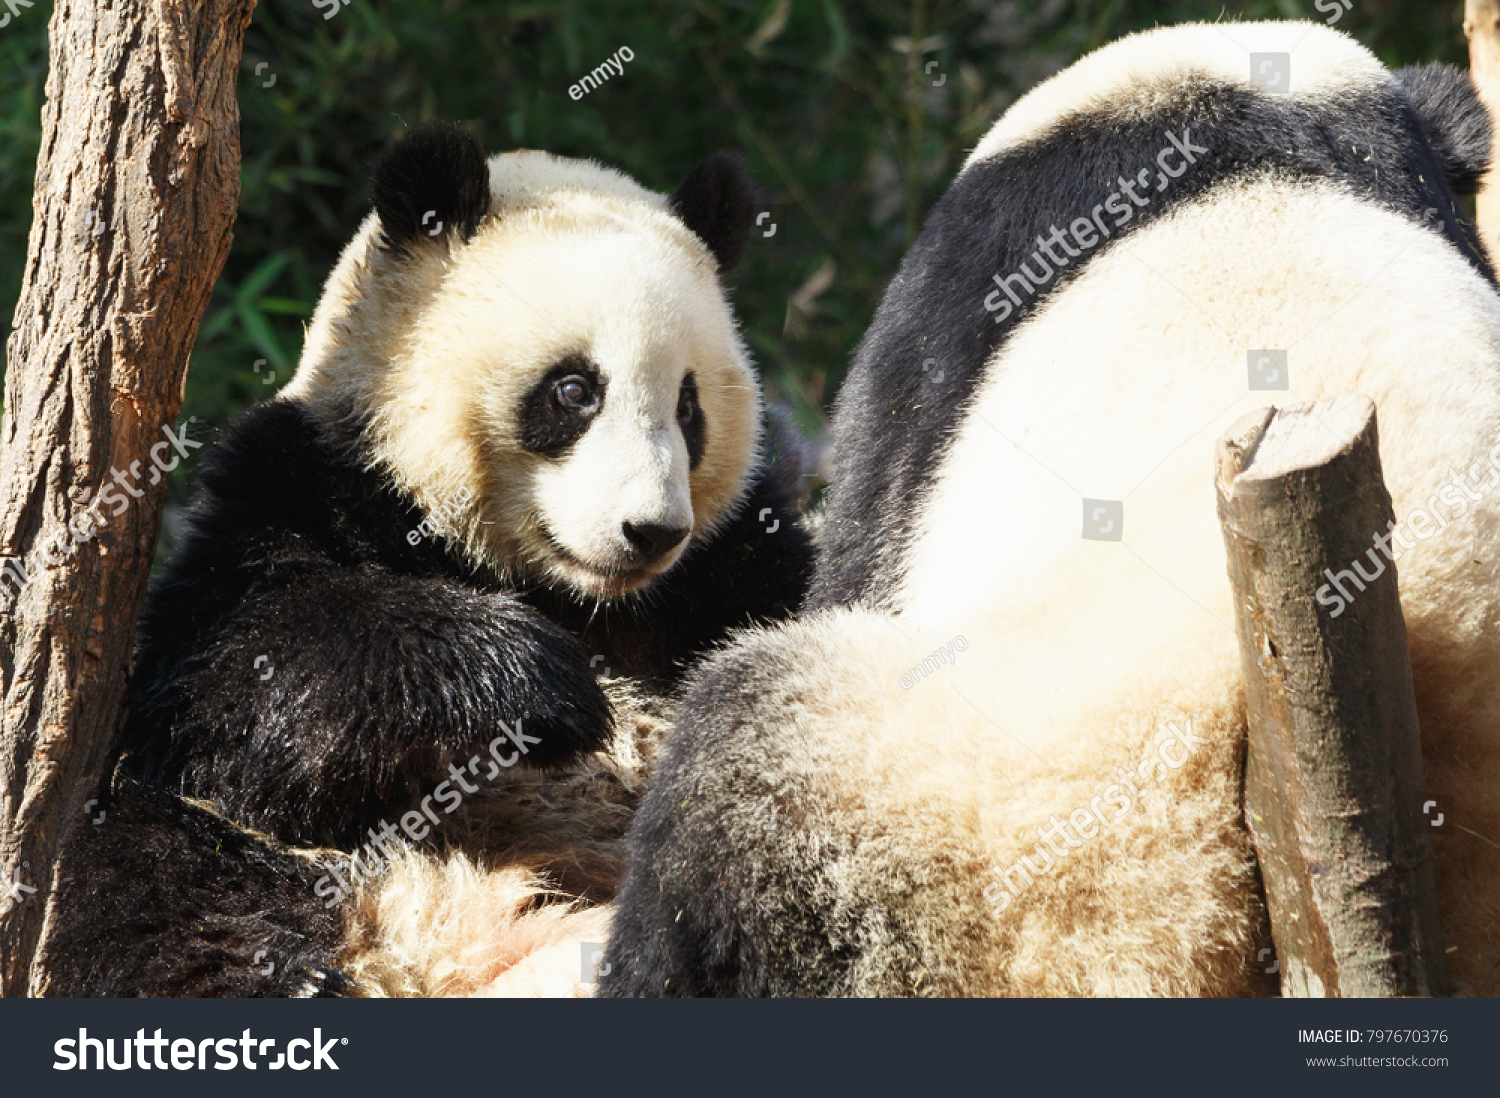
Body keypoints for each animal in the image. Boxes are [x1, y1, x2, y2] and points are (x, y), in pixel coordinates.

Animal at [43, 124, 810, 1002]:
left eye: (689, 406)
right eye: (575, 390)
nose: (650, 531)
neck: (570, 594)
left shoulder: (730, 568)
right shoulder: (307, 480)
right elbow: (222, 678)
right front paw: (539, 684)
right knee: (154, 886)